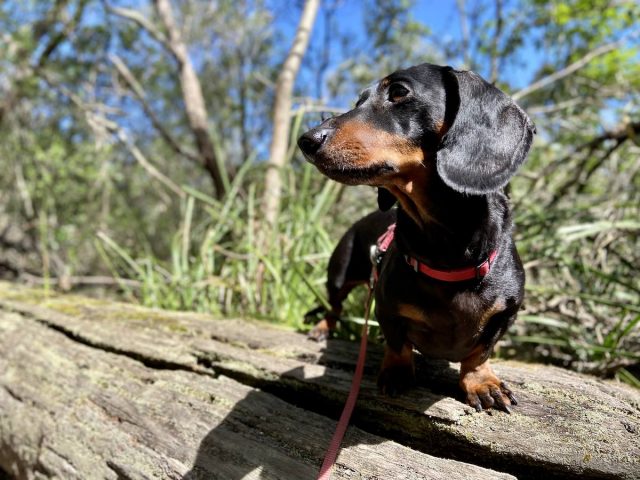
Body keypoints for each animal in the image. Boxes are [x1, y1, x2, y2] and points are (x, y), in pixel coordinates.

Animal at [298, 62, 536, 412]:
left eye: (398, 92)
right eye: (358, 101)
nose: (306, 140)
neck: (448, 253)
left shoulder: (505, 314)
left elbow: (479, 353)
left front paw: (482, 382)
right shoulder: (386, 308)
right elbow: (398, 344)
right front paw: (397, 374)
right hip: (340, 273)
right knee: (334, 305)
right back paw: (321, 329)